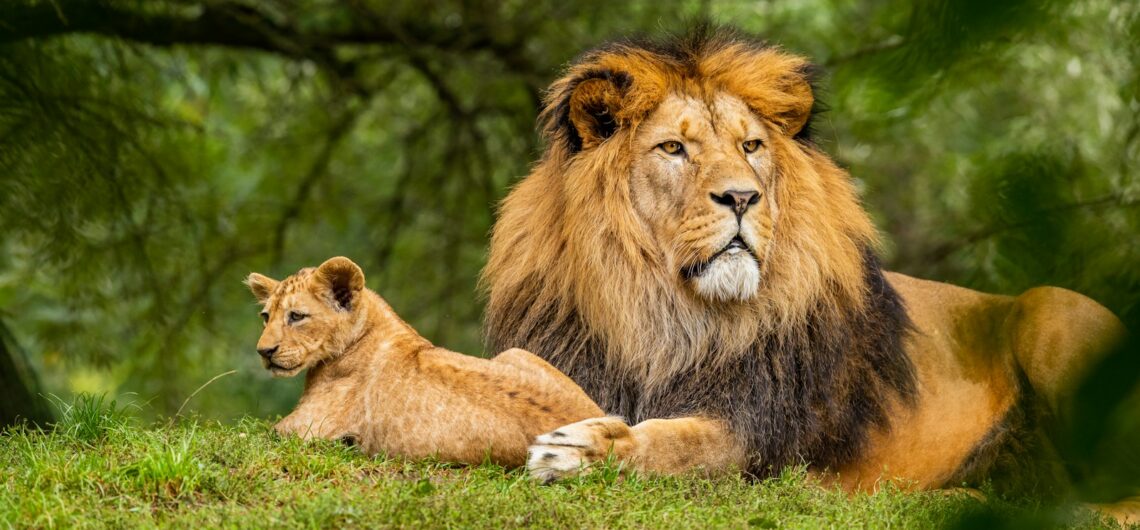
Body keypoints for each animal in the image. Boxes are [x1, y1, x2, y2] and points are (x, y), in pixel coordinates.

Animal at [476, 26, 1126, 501]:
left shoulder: (759, 434)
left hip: (1052, 311)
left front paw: (582, 452)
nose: (742, 197)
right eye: (673, 148)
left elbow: (675, 445)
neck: (664, 315)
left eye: (751, 146)